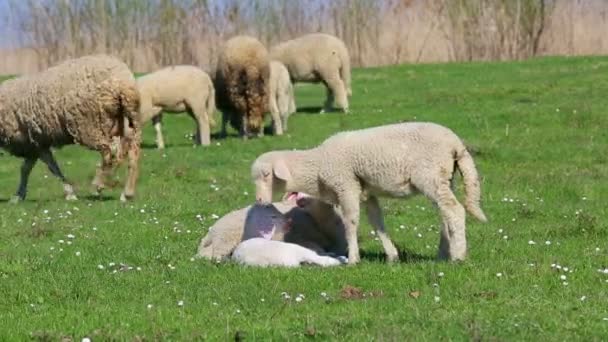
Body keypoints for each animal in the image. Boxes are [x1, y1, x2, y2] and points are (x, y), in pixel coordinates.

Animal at [0, 54, 141, 203]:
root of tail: (123, 81)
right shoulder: (36, 144)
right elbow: (28, 169)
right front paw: (18, 195)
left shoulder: (34, 143)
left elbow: (50, 168)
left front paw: (70, 193)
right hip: (127, 121)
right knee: (132, 153)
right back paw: (127, 193)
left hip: (90, 125)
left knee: (111, 151)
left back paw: (97, 185)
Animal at [252, 121, 490, 264]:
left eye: (266, 175)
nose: (260, 201)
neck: (318, 163)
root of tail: (456, 143)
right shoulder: (367, 192)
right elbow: (377, 223)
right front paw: (392, 256)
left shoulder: (346, 185)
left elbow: (350, 223)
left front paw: (352, 258)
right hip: (443, 179)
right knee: (445, 213)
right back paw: (443, 254)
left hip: (430, 176)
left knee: (454, 210)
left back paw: (458, 255)